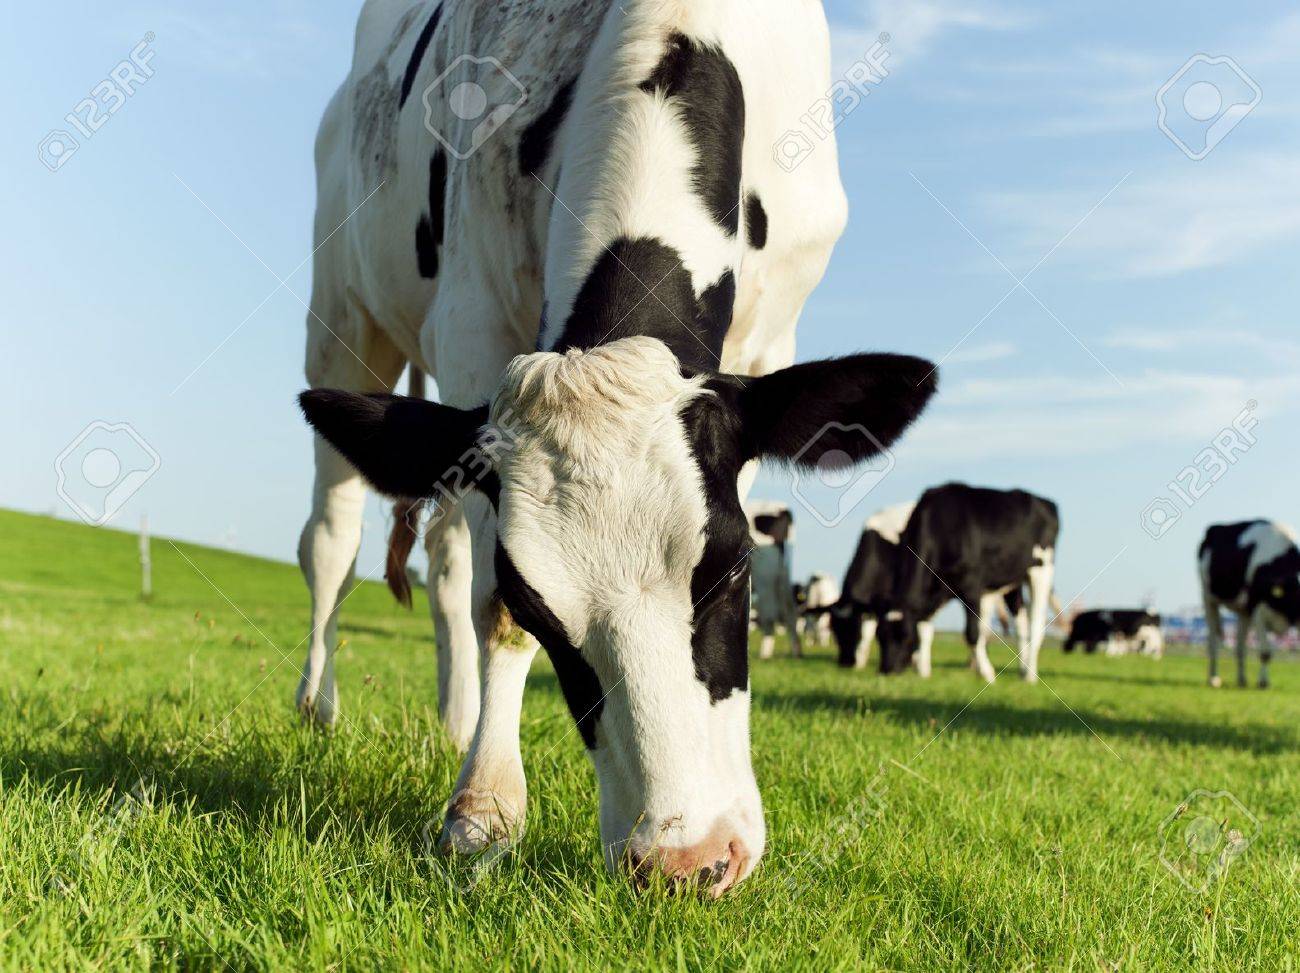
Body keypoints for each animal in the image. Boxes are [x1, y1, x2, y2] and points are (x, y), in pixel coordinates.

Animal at [295, 0, 937, 895]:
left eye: (732, 568)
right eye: (538, 604)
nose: (687, 860)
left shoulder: (770, 339)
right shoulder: (472, 323)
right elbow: (489, 608)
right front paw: (483, 809)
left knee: (445, 553)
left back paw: (457, 718)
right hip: (343, 319)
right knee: (334, 537)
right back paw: (319, 705)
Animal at [876, 484, 1059, 682]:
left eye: (905, 636)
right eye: (880, 636)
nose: (887, 670)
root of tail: (1044, 501)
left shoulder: (971, 586)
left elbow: (972, 632)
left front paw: (987, 673)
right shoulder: (936, 591)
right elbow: (925, 628)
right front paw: (924, 672)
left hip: (1042, 569)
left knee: (1036, 622)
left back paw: (1030, 677)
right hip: (1011, 579)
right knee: (1021, 624)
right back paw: (1023, 670)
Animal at [1199, 521, 1300, 689]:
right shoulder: (1257, 609)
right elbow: (1265, 653)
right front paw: (1263, 682)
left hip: (1243, 611)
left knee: (1240, 647)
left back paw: (1242, 680)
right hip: (1208, 597)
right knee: (1213, 641)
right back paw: (1213, 678)